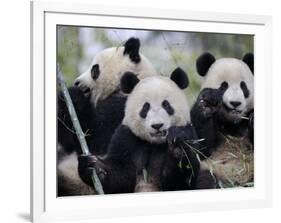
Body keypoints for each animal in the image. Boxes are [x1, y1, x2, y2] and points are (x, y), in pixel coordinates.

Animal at [57, 37, 156, 196]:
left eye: (94, 69)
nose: (77, 82)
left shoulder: (125, 107)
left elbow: (94, 140)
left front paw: (72, 95)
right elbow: (67, 139)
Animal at [190, 52, 254, 190]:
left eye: (243, 87)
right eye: (224, 86)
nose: (235, 103)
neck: (232, 122)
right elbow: (199, 148)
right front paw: (208, 102)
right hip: (212, 170)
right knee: (205, 179)